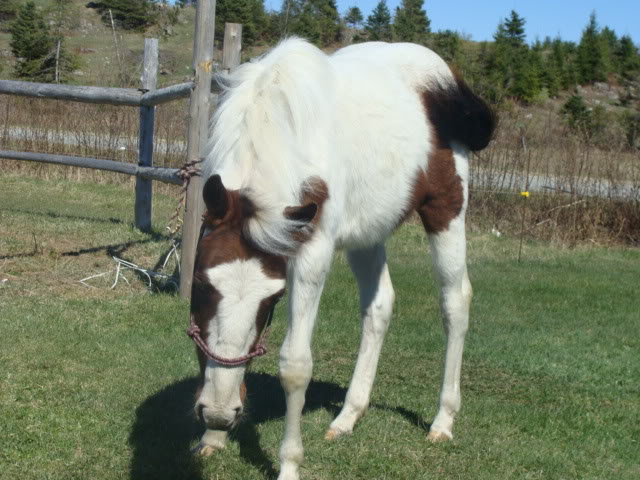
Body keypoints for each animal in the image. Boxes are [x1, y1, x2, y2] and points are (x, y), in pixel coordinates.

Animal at [185, 38, 496, 480]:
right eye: (199, 284)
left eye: (274, 300)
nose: (217, 412)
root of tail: (449, 79)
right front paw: (211, 439)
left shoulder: (310, 255)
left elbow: (295, 365)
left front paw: (289, 464)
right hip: (368, 232)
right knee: (380, 306)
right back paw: (349, 415)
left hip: (446, 211)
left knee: (455, 302)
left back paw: (443, 420)